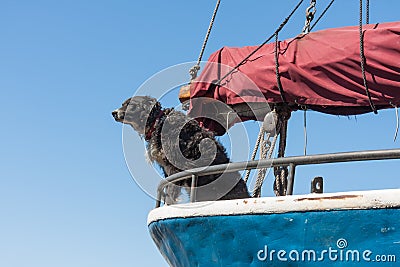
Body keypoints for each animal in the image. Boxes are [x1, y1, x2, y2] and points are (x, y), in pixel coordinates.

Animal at [111, 97, 250, 204]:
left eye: (129, 104)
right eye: (123, 104)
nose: (113, 112)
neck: (158, 122)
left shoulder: (175, 167)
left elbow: (171, 193)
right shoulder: (166, 168)